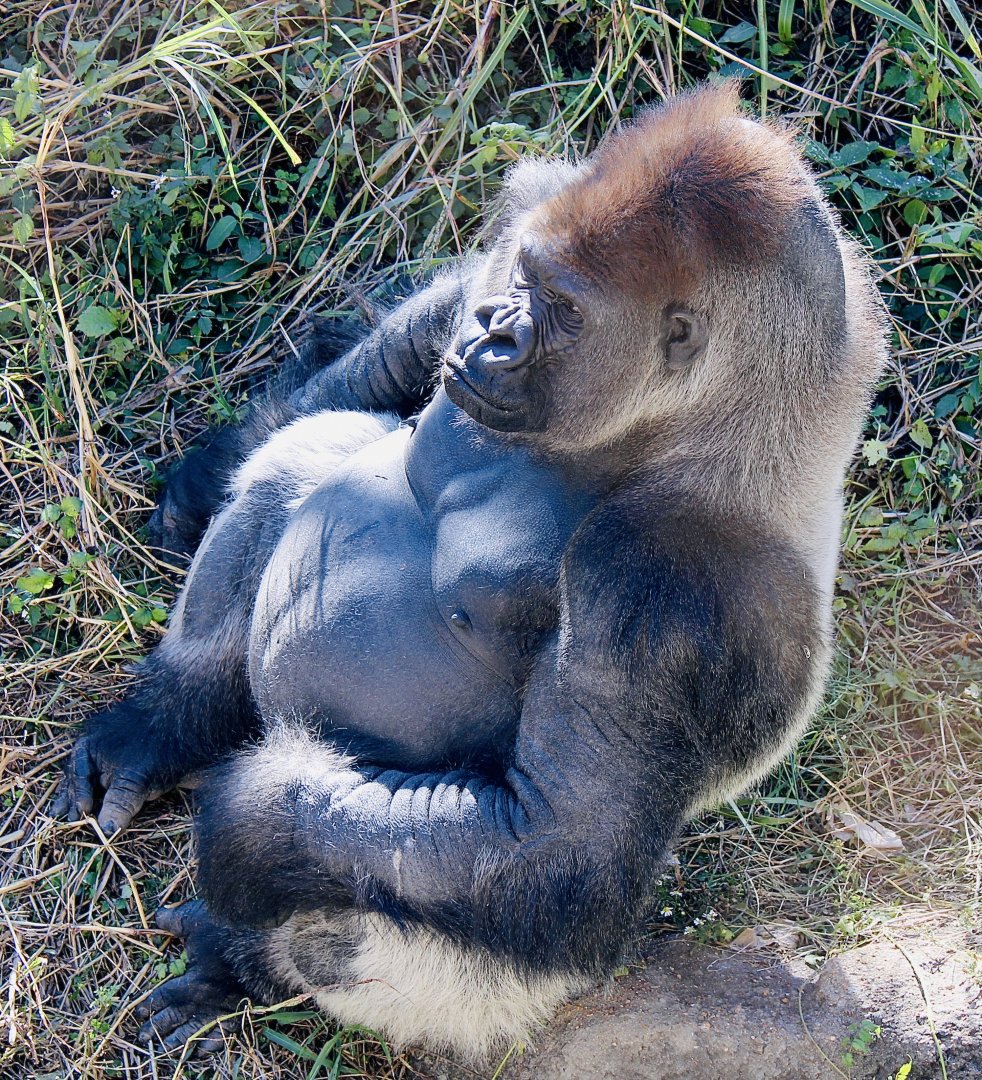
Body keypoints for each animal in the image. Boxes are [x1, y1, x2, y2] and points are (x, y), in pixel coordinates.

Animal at [54, 83, 889, 1059]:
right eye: (526, 282)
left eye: (563, 309)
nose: (497, 333)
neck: (699, 422)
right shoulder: (535, 220)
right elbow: (427, 320)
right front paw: (208, 472)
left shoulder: (677, 590)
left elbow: (558, 855)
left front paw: (247, 824)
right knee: (315, 450)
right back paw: (165, 719)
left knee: (365, 922)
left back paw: (241, 958)